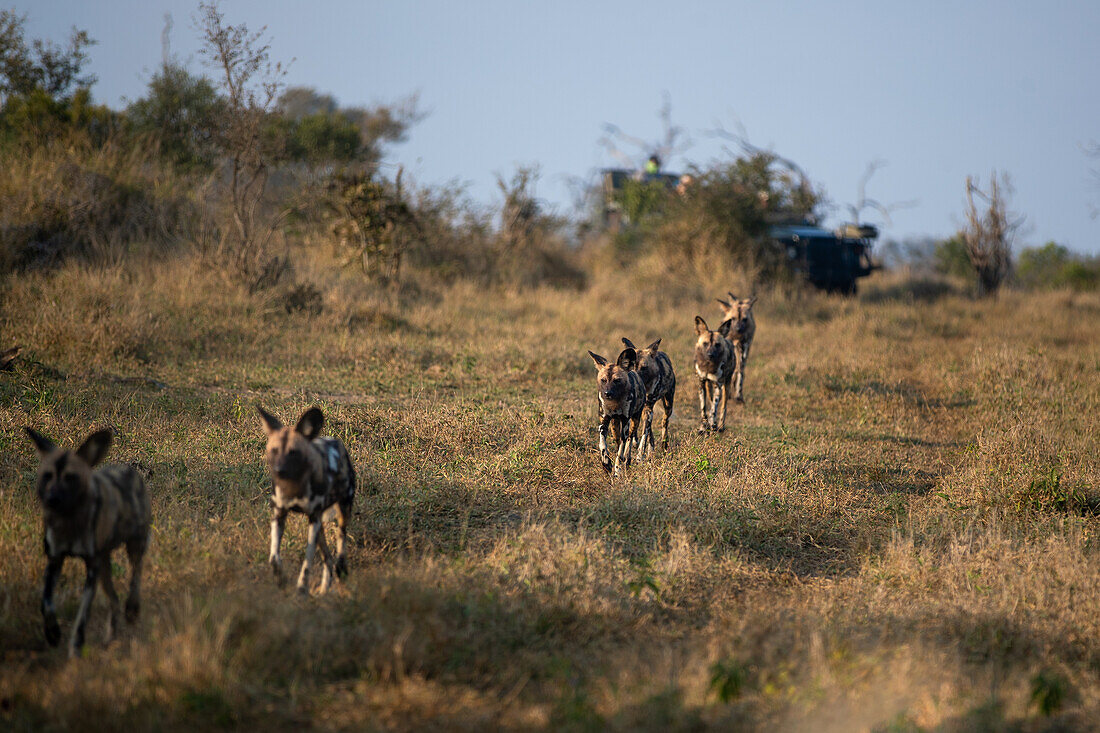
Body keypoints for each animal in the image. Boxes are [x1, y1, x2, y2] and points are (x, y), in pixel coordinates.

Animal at [24, 422, 150, 655]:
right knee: (114, 600)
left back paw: (132, 610)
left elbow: (83, 614)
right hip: (105, 565)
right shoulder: (55, 560)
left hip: (133, 548)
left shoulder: (91, 567)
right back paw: (110, 640)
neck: (69, 521)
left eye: (71, 478)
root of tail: (129, 470)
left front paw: (75, 646)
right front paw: (53, 634)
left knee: (134, 578)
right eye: (47, 476)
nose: (52, 499)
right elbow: (46, 604)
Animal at [260, 405, 356, 594]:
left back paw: (341, 573)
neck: (294, 486)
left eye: (293, 452)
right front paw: (281, 580)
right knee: (328, 558)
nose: (279, 470)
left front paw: (301, 589)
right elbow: (274, 557)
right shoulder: (279, 514)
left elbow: (307, 562)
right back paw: (324, 590)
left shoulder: (313, 519)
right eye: (274, 450)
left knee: (340, 544)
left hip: (341, 513)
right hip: (319, 527)